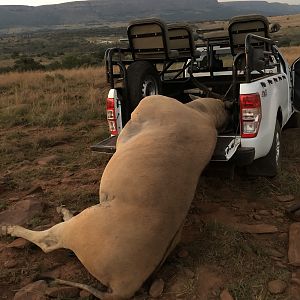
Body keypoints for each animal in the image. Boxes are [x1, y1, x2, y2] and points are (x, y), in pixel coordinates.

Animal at [1, 96, 229, 300]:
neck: (202, 113)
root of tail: (124, 287)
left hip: (79, 226)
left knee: (48, 242)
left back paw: (9, 228)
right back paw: (64, 211)